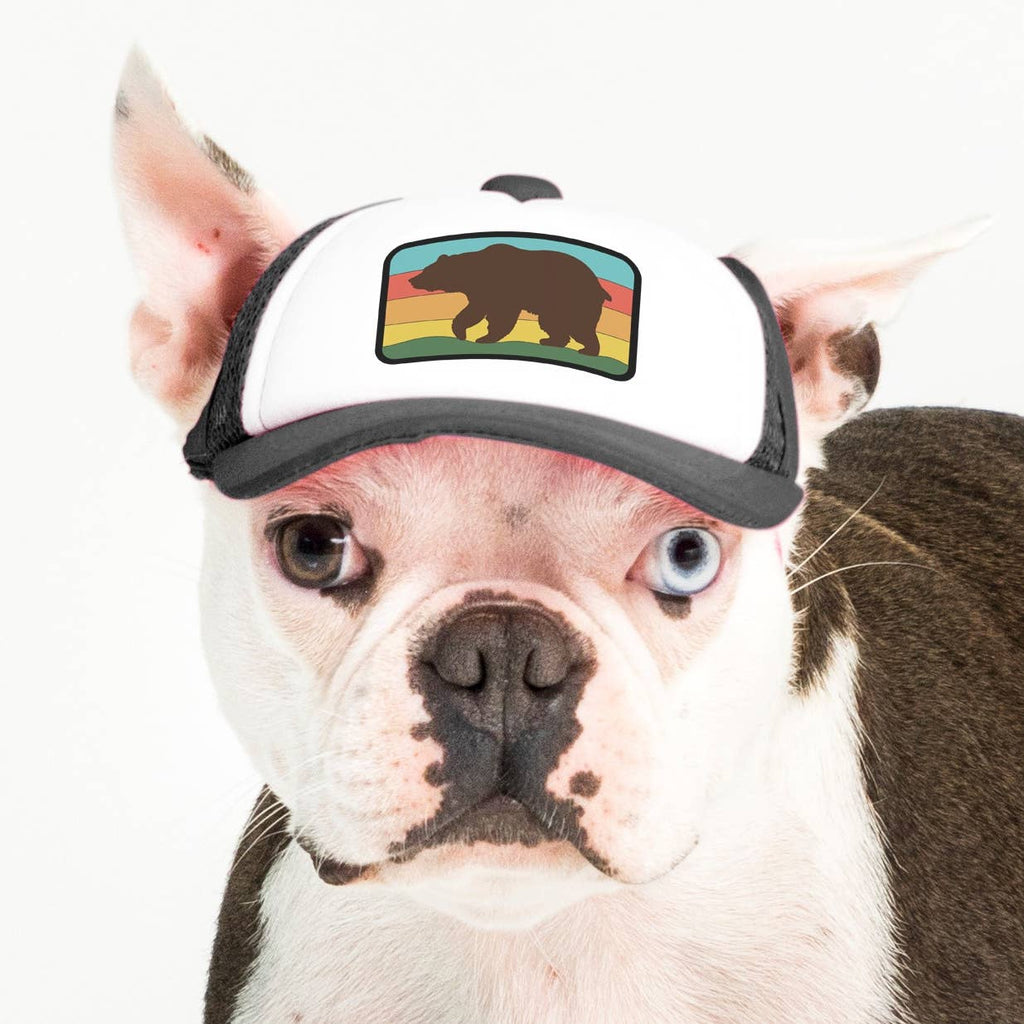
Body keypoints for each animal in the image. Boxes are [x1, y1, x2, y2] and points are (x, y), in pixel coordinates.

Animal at [408, 243, 613, 357]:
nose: (411, 279)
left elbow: (497, 315)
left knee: (580, 326)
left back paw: (588, 350)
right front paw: (466, 333)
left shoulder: (502, 290)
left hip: (574, 299)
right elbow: (477, 311)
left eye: (426, 270)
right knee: (553, 323)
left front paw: (480, 337)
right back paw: (549, 340)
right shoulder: (482, 293)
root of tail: (600, 288)